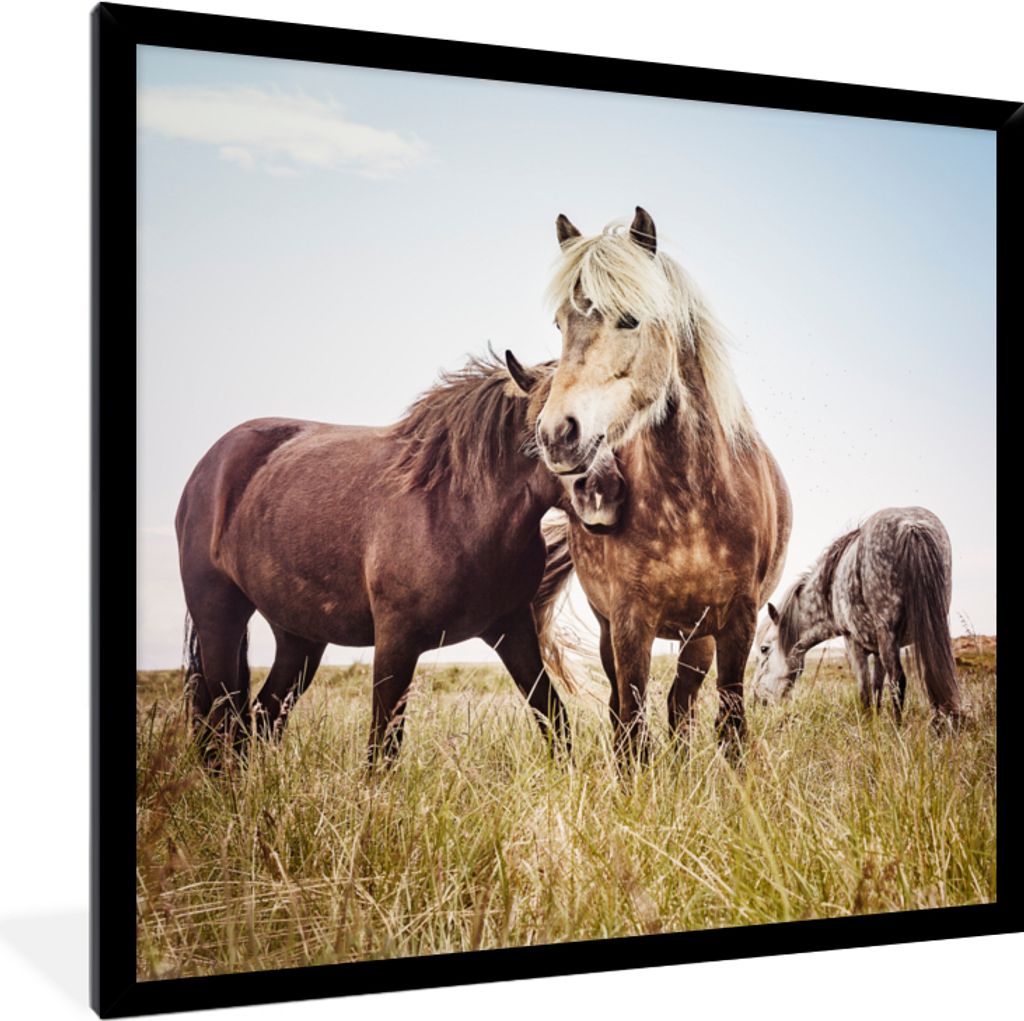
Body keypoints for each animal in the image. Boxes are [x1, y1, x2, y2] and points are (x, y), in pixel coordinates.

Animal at [175, 354, 626, 766]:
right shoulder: (396, 640)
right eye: (554, 425)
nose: (605, 491)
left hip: (298, 638)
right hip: (220, 619)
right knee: (222, 717)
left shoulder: (512, 629)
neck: (456, 507)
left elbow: (553, 717)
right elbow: (384, 745)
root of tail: (207, 468)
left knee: (262, 716)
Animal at [507, 207, 792, 760]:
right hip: (612, 629)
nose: (556, 434)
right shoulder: (629, 621)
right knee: (626, 706)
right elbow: (632, 723)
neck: (691, 503)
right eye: (560, 323)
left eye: (630, 318)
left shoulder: (737, 620)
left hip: (698, 635)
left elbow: (730, 720)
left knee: (682, 701)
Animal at [749, 506, 963, 724]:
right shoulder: (878, 650)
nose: (757, 700)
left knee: (898, 680)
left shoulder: (854, 643)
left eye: (764, 649)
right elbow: (877, 688)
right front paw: (876, 721)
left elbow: (865, 691)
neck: (828, 591)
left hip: (888, 634)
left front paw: (868, 725)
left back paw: (898, 726)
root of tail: (911, 526)